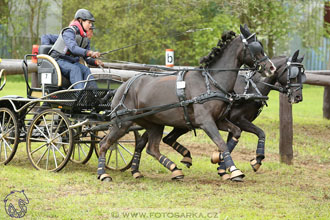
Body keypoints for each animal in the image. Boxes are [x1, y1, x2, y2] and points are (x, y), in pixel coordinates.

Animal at [97, 24, 276, 182]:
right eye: (255, 48)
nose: (271, 68)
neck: (210, 82)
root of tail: (123, 86)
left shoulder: (219, 120)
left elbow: (236, 133)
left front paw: (219, 161)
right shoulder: (206, 122)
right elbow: (221, 143)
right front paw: (234, 170)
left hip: (154, 124)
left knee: (151, 148)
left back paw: (173, 170)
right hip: (122, 123)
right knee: (105, 143)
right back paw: (103, 174)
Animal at [159, 50, 306, 180]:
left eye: (302, 75)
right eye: (293, 74)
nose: (298, 97)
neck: (250, 88)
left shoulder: (233, 124)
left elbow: (244, 138)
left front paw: (224, 167)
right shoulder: (238, 120)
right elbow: (258, 133)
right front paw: (249, 162)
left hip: (184, 124)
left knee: (168, 139)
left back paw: (186, 157)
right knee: (167, 138)